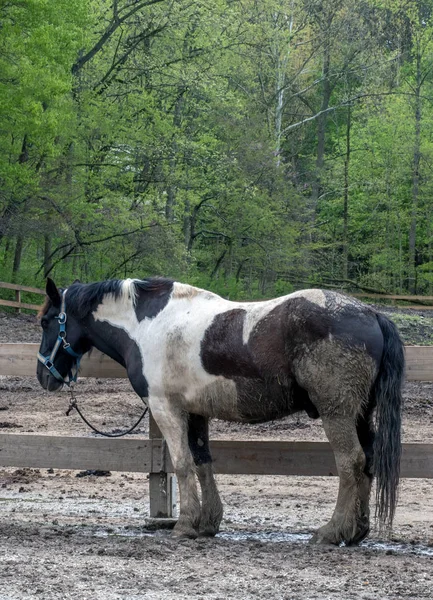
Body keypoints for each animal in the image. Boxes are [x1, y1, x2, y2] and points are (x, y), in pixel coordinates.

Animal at [35, 276, 404, 544]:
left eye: (47, 321)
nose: (44, 375)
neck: (149, 325)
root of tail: (372, 314)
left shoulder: (165, 408)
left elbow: (182, 464)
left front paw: (185, 525)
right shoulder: (196, 412)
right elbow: (202, 462)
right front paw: (207, 523)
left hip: (337, 413)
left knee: (350, 463)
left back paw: (332, 531)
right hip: (361, 415)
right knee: (368, 461)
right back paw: (356, 531)